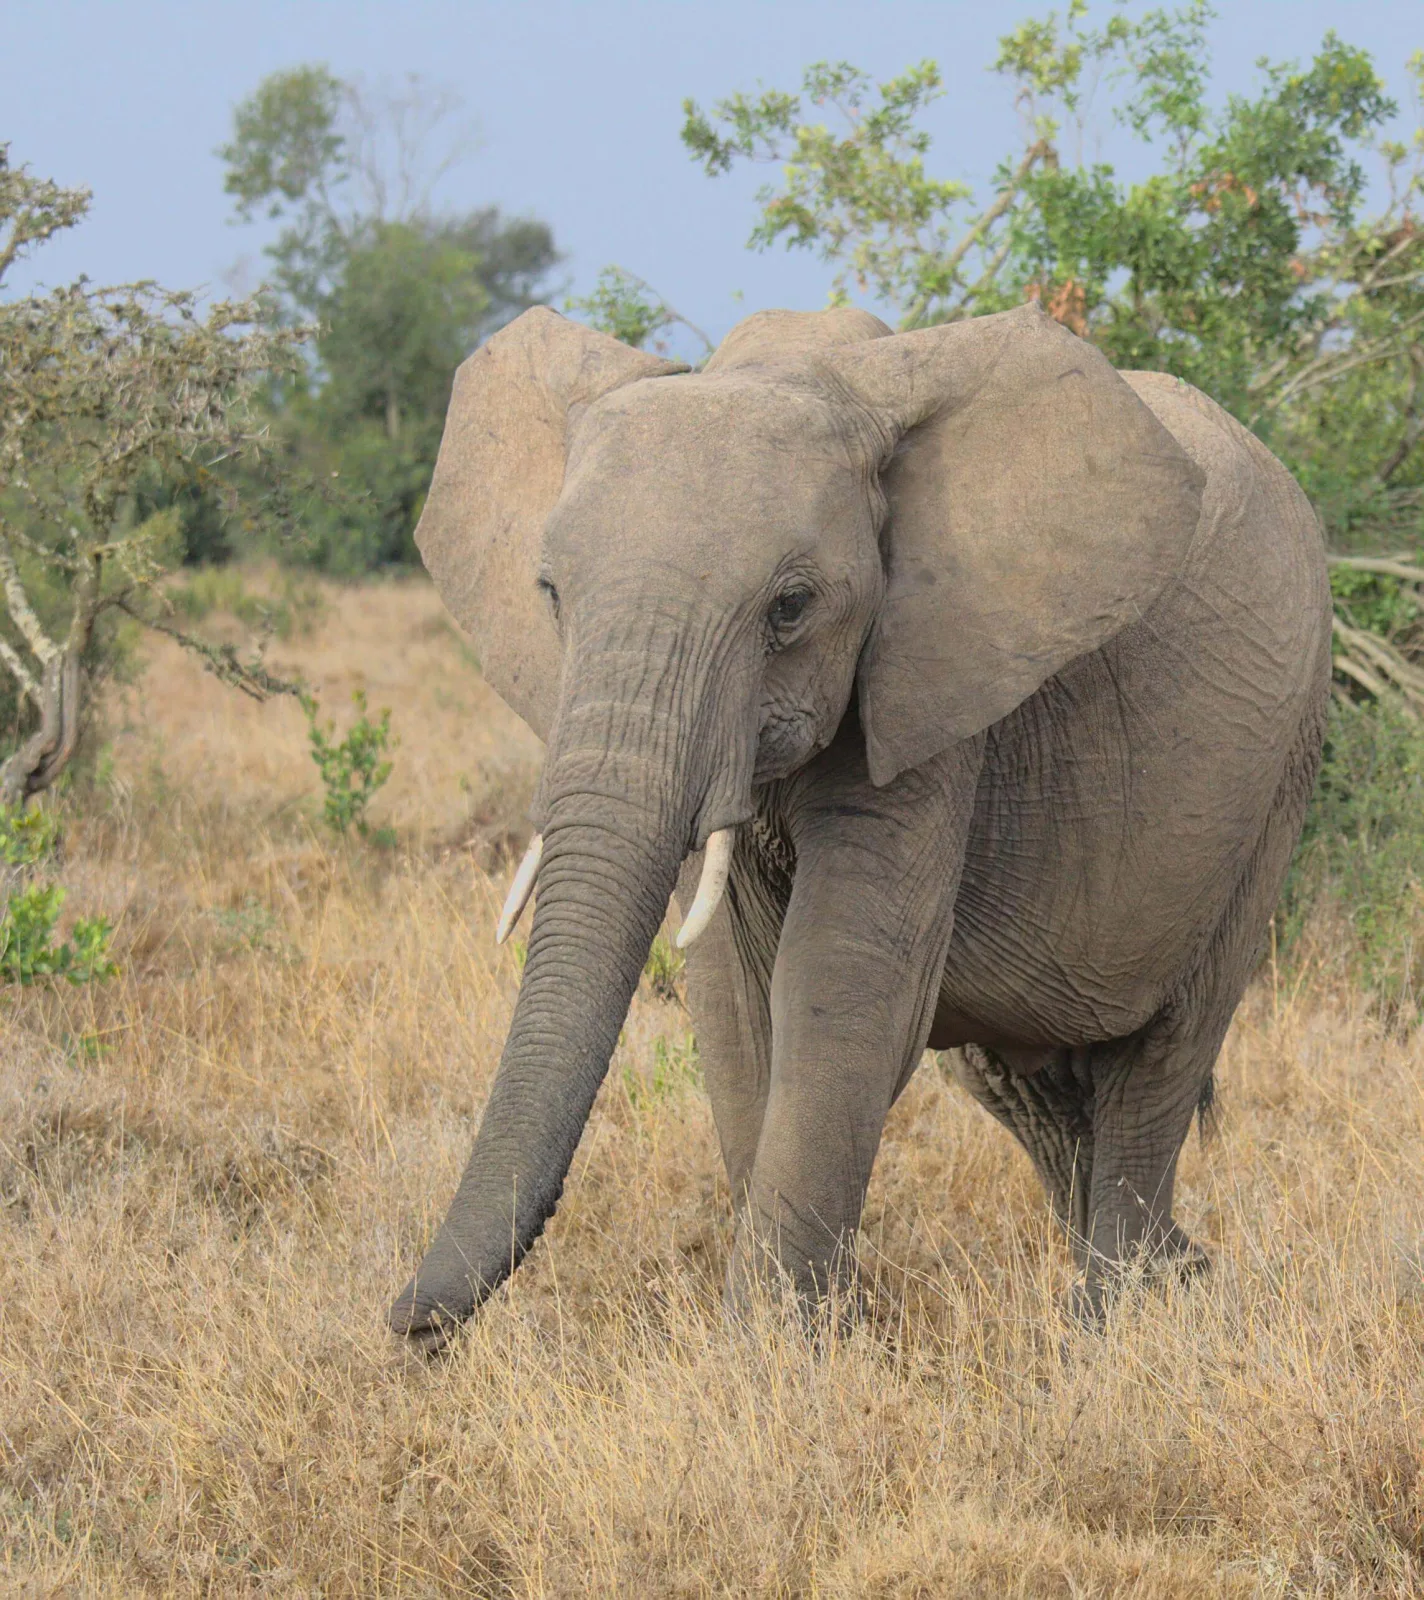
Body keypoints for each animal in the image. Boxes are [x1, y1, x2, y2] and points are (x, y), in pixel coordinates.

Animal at [388, 300, 1330, 1351]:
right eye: (550, 593)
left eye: (791, 607)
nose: (409, 1328)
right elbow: (731, 997)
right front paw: (812, 1333)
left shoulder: (934, 681)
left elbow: (842, 973)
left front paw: (776, 1352)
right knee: (1029, 1087)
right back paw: (1173, 1277)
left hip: (1281, 774)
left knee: (1160, 1057)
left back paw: (1115, 1323)